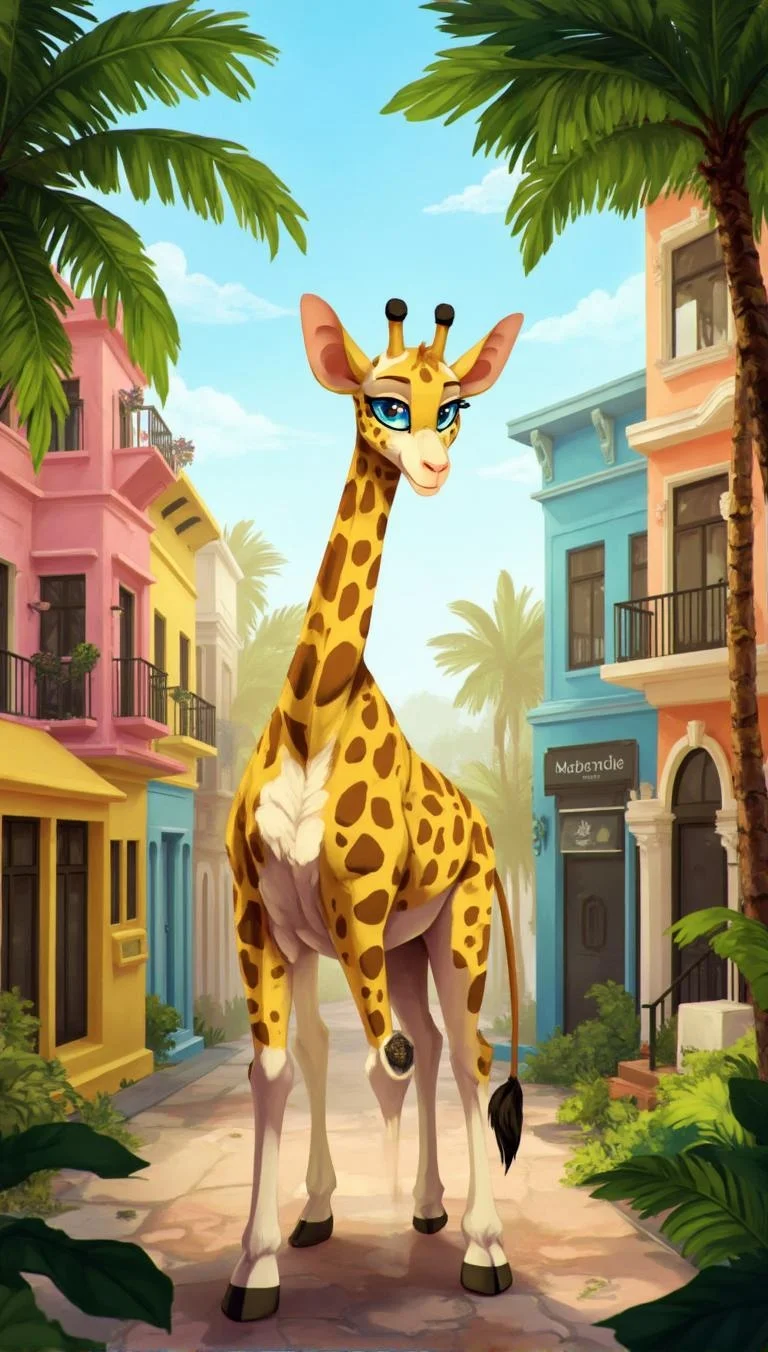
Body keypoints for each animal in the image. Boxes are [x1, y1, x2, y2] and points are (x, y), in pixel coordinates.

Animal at [222, 294, 525, 1322]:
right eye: (385, 403)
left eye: (455, 408)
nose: (431, 466)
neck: (311, 718)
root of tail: (483, 826)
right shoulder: (264, 916)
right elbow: (282, 1066)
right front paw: (260, 1264)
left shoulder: (355, 907)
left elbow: (374, 1060)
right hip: (405, 943)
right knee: (423, 1045)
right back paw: (421, 1210)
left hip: (456, 926)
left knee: (466, 1052)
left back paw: (481, 1249)